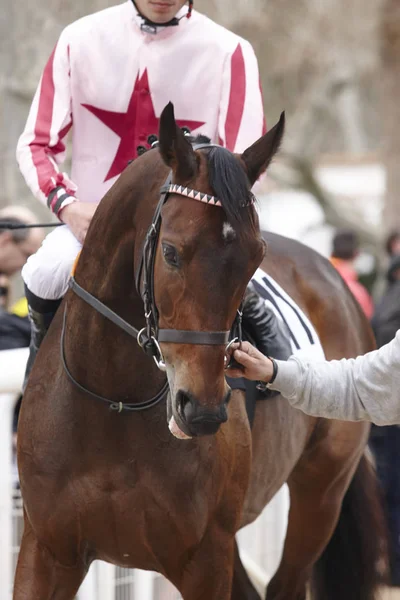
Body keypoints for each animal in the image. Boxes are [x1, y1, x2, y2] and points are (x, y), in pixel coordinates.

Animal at [14, 104, 384, 600]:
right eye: (171, 252)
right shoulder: (47, 549)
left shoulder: (205, 558)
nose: (202, 409)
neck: (114, 400)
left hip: (321, 492)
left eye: (255, 257)